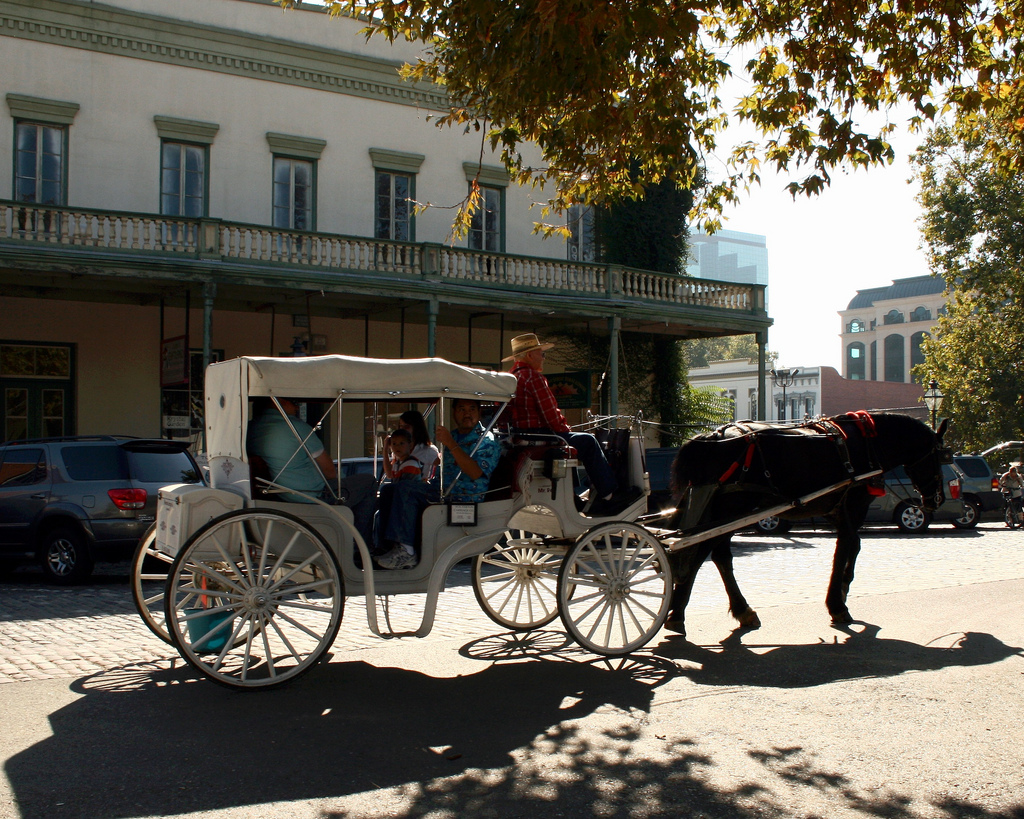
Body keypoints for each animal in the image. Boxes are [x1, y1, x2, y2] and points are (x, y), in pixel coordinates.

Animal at [663, 413, 950, 634]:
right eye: (941, 456)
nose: (937, 499)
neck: (867, 443)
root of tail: (714, 438)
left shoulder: (836, 511)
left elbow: (853, 545)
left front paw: (843, 588)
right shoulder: (853, 506)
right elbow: (846, 548)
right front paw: (838, 602)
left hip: (722, 510)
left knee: (716, 555)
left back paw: (735, 610)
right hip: (733, 508)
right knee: (701, 554)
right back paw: (679, 612)